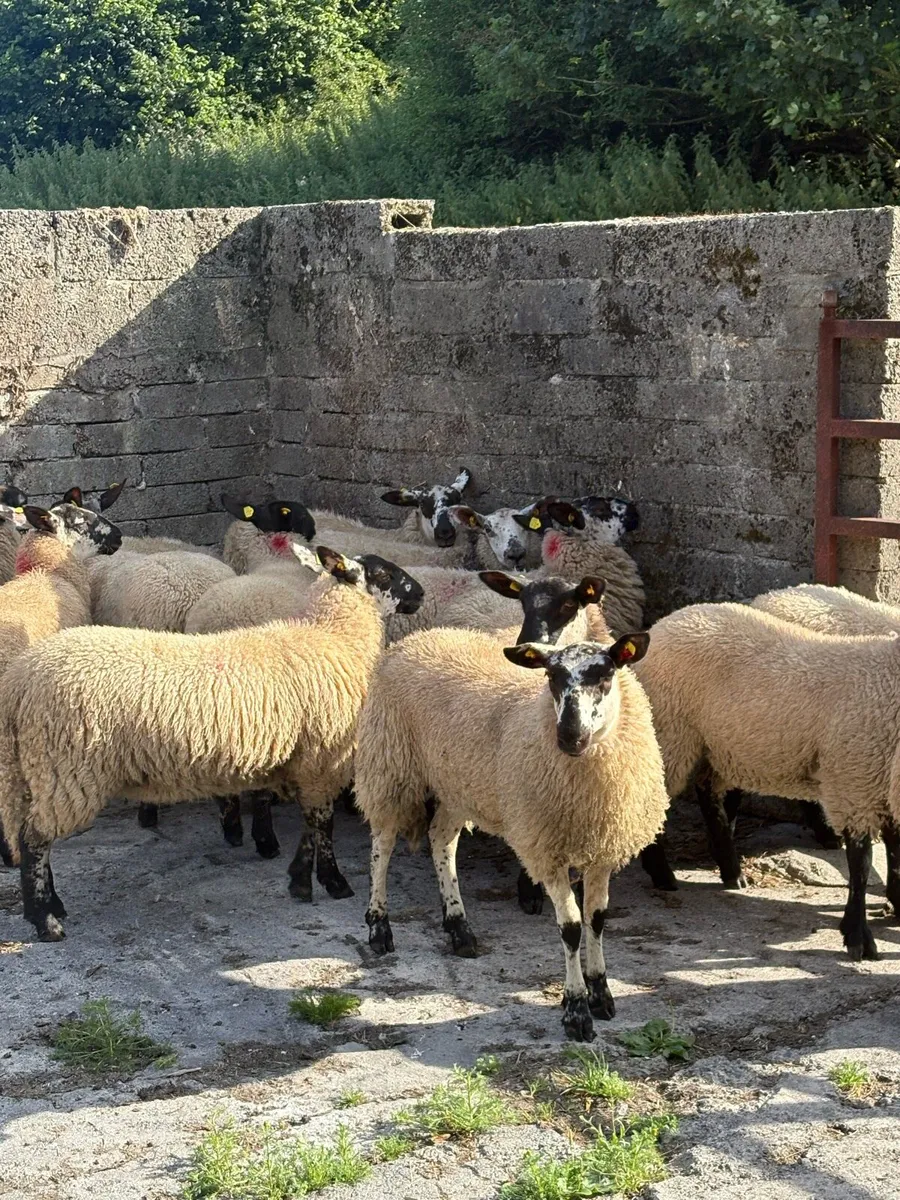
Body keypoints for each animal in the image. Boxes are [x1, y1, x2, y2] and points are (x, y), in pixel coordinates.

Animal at [0, 545, 424, 940]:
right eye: (383, 573)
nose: (419, 593)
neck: (333, 636)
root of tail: (20, 681)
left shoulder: (306, 759)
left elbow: (308, 821)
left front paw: (300, 880)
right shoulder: (322, 759)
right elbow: (323, 823)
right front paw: (333, 882)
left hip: (40, 769)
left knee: (30, 831)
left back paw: (53, 905)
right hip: (67, 769)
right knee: (33, 839)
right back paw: (45, 922)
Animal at [355, 628, 667, 1042]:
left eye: (605, 674)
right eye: (551, 677)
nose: (569, 736)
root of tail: (418, 637)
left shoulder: (603, 846)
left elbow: (596, 919)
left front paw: (601, 993)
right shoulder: (545, 849)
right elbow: (571, 928)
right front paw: (576, 1010)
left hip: (458, 784)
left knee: (441, 841)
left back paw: (459, 928)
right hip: (390, 765)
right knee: (382, 846)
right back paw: (379, 926)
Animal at [633, 601, 900, 960]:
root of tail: (669, 621)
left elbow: (895, 853)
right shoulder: (854, 781)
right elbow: (861, 866)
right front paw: (858, 938)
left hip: (717, 745)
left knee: (709, 794)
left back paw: (731, 872)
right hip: (670, 732)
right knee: (656, 797)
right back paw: (663, 875)